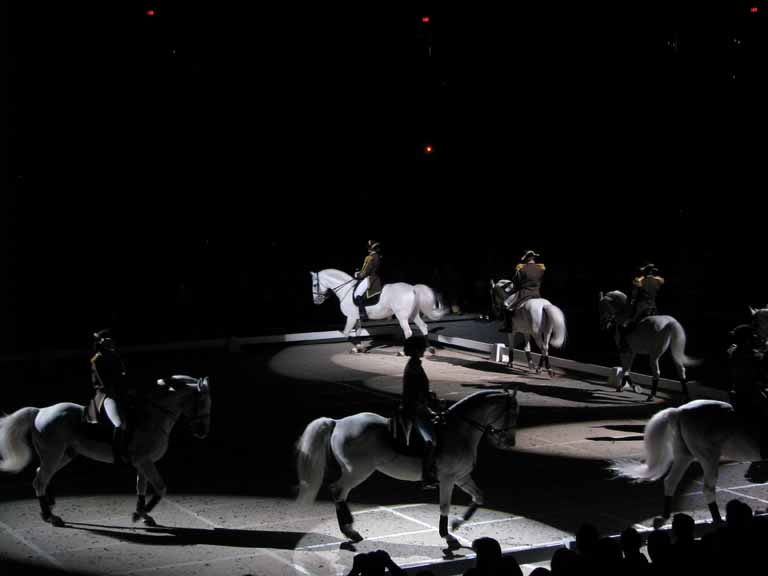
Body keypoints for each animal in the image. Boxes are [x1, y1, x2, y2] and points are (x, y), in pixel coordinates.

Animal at [0, 376, 210, 524]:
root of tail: (40, 411)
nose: (202, 432)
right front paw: (141, 514)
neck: (153, 418)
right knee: (40, 480)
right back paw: (49, 517)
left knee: (41, 475)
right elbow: (160, 488)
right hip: (53, 455)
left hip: (64, 455)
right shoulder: (145, 462)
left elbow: (141, 488)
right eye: (202, 403)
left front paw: (142, 514)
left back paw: (50, 506)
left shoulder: (143, 462)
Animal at [294, 390, 516, 548]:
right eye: (512, 413)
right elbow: (444, 506)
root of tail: (338, 422)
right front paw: (447, 536)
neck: (459, 431)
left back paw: (351, 530)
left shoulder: (462, 477)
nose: (510, 443)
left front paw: (457, 523)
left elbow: (479, 496)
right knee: (337, 491)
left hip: (355, 471)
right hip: (357, 471)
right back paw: (350, 530)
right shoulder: (448, 479)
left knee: (339, 493)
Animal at [310, 268, 448, 352]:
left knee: (408, 332)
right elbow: (358, 332)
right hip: (413, 314)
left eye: (315, 285)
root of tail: (412, 288)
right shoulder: (357, 317)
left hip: (402, 316)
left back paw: (402, 352)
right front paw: (359, 348)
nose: (316, 301)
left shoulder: (351, 317)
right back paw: (429, 349)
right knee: (423, 327)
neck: (347, 290)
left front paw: (358, 348)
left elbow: (346, 333)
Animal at [608, 398, 764, 524]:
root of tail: (680, 411)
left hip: (684, 455)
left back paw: (666, 515)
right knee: (708, 489)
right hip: (708, 457)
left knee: (671, 481)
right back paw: (717, 520)